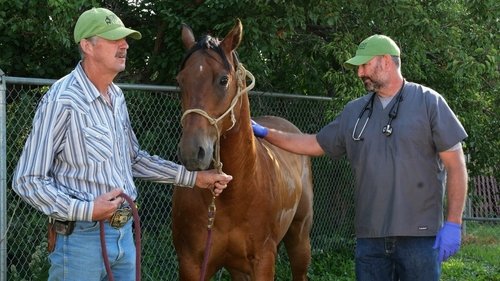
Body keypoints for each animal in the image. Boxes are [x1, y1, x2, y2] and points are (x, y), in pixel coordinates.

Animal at [172, 18, 312, 278]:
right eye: (180, 80)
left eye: (223, 80)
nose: (192, 152)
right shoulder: (191, 264)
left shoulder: (263, 261)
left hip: (300, 239)